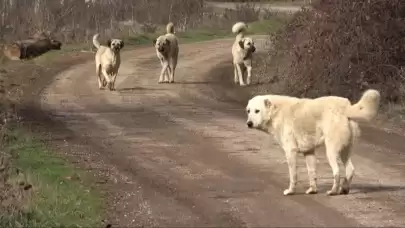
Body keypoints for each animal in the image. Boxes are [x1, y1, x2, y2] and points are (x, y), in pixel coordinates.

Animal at [245, 89, 380, 196]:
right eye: (248, 111)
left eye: (257, 111)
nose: (249, 124)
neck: (276, 112)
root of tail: (346, 106)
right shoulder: (309, 152)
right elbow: (312, 173)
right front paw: (313, 190)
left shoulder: (290, 152)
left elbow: (293, 175)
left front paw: (290, 191)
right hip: (345, 151)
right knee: (350, 170)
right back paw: (344, 189)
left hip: (331, 152)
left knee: (337, 172)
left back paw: (333, 191)